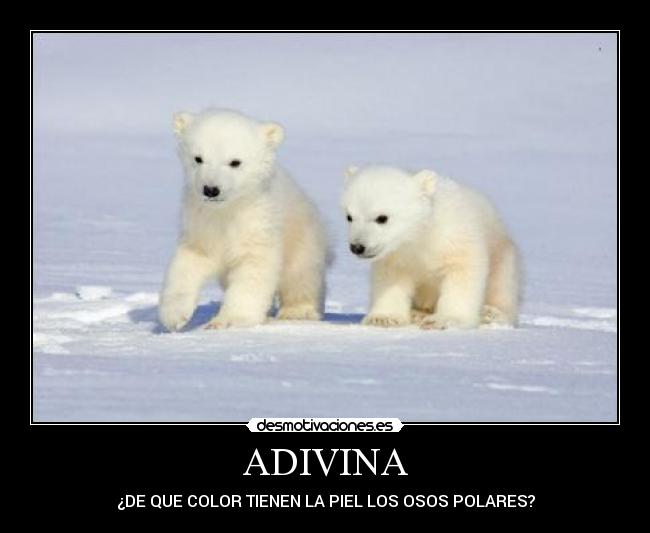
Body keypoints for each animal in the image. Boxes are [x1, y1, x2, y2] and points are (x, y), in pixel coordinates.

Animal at [158, 109, 329, 331]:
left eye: (235, 162)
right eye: (198, 158)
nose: (211, 189)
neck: (227, 210)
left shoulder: (257, 223)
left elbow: (252, 269)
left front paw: (228, 320)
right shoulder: (201, 222)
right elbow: (188, 263)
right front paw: (174, 316)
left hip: (302, 236)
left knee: (301, 274)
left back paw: (299, 312)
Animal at [340, 165, 520, 329]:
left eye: (382, 218)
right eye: (349, 217)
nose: (357, 247)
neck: (421, 235)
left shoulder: (454, 236)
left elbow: (462, 271)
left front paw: (445, 320)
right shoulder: (396, 255)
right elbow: (391, 278)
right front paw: (383, 318)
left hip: (503, 255)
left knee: (502, 286)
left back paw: (490, 314)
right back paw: (417, 313)